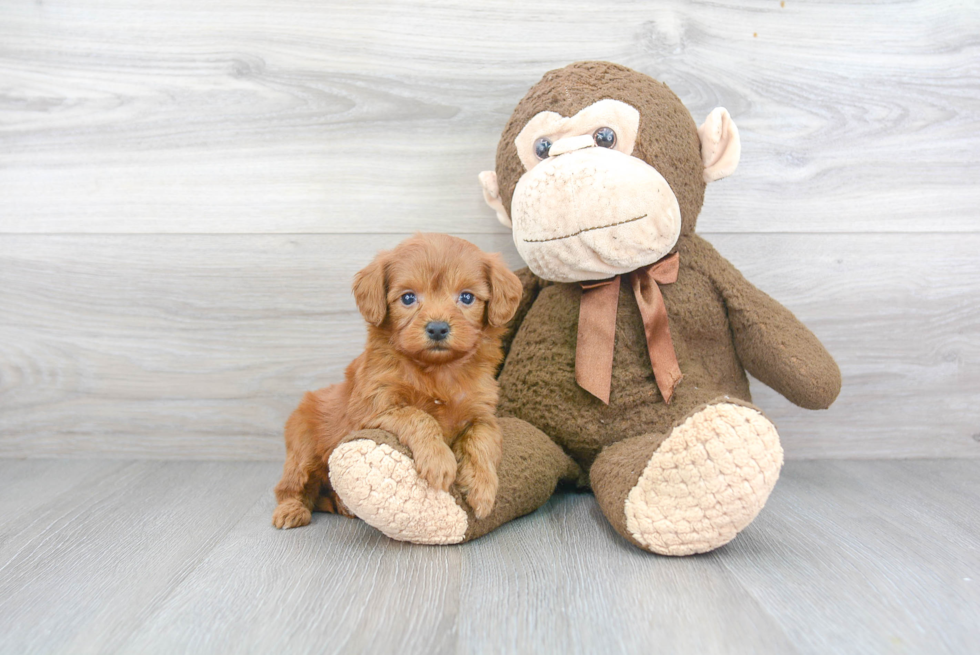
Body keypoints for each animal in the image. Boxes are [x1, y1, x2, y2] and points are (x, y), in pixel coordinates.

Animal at [272, 233, 524, 532]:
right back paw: (290, 511)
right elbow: (419, 416)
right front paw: (438, 460)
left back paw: (343, 505)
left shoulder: (482, 413)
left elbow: (481, 440)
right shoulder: (373, 409)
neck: (438, 371)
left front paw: (482, 488)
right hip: (302, 449)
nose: (437, 328)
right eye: (408, 298)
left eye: (466, 297)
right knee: (291, 487)